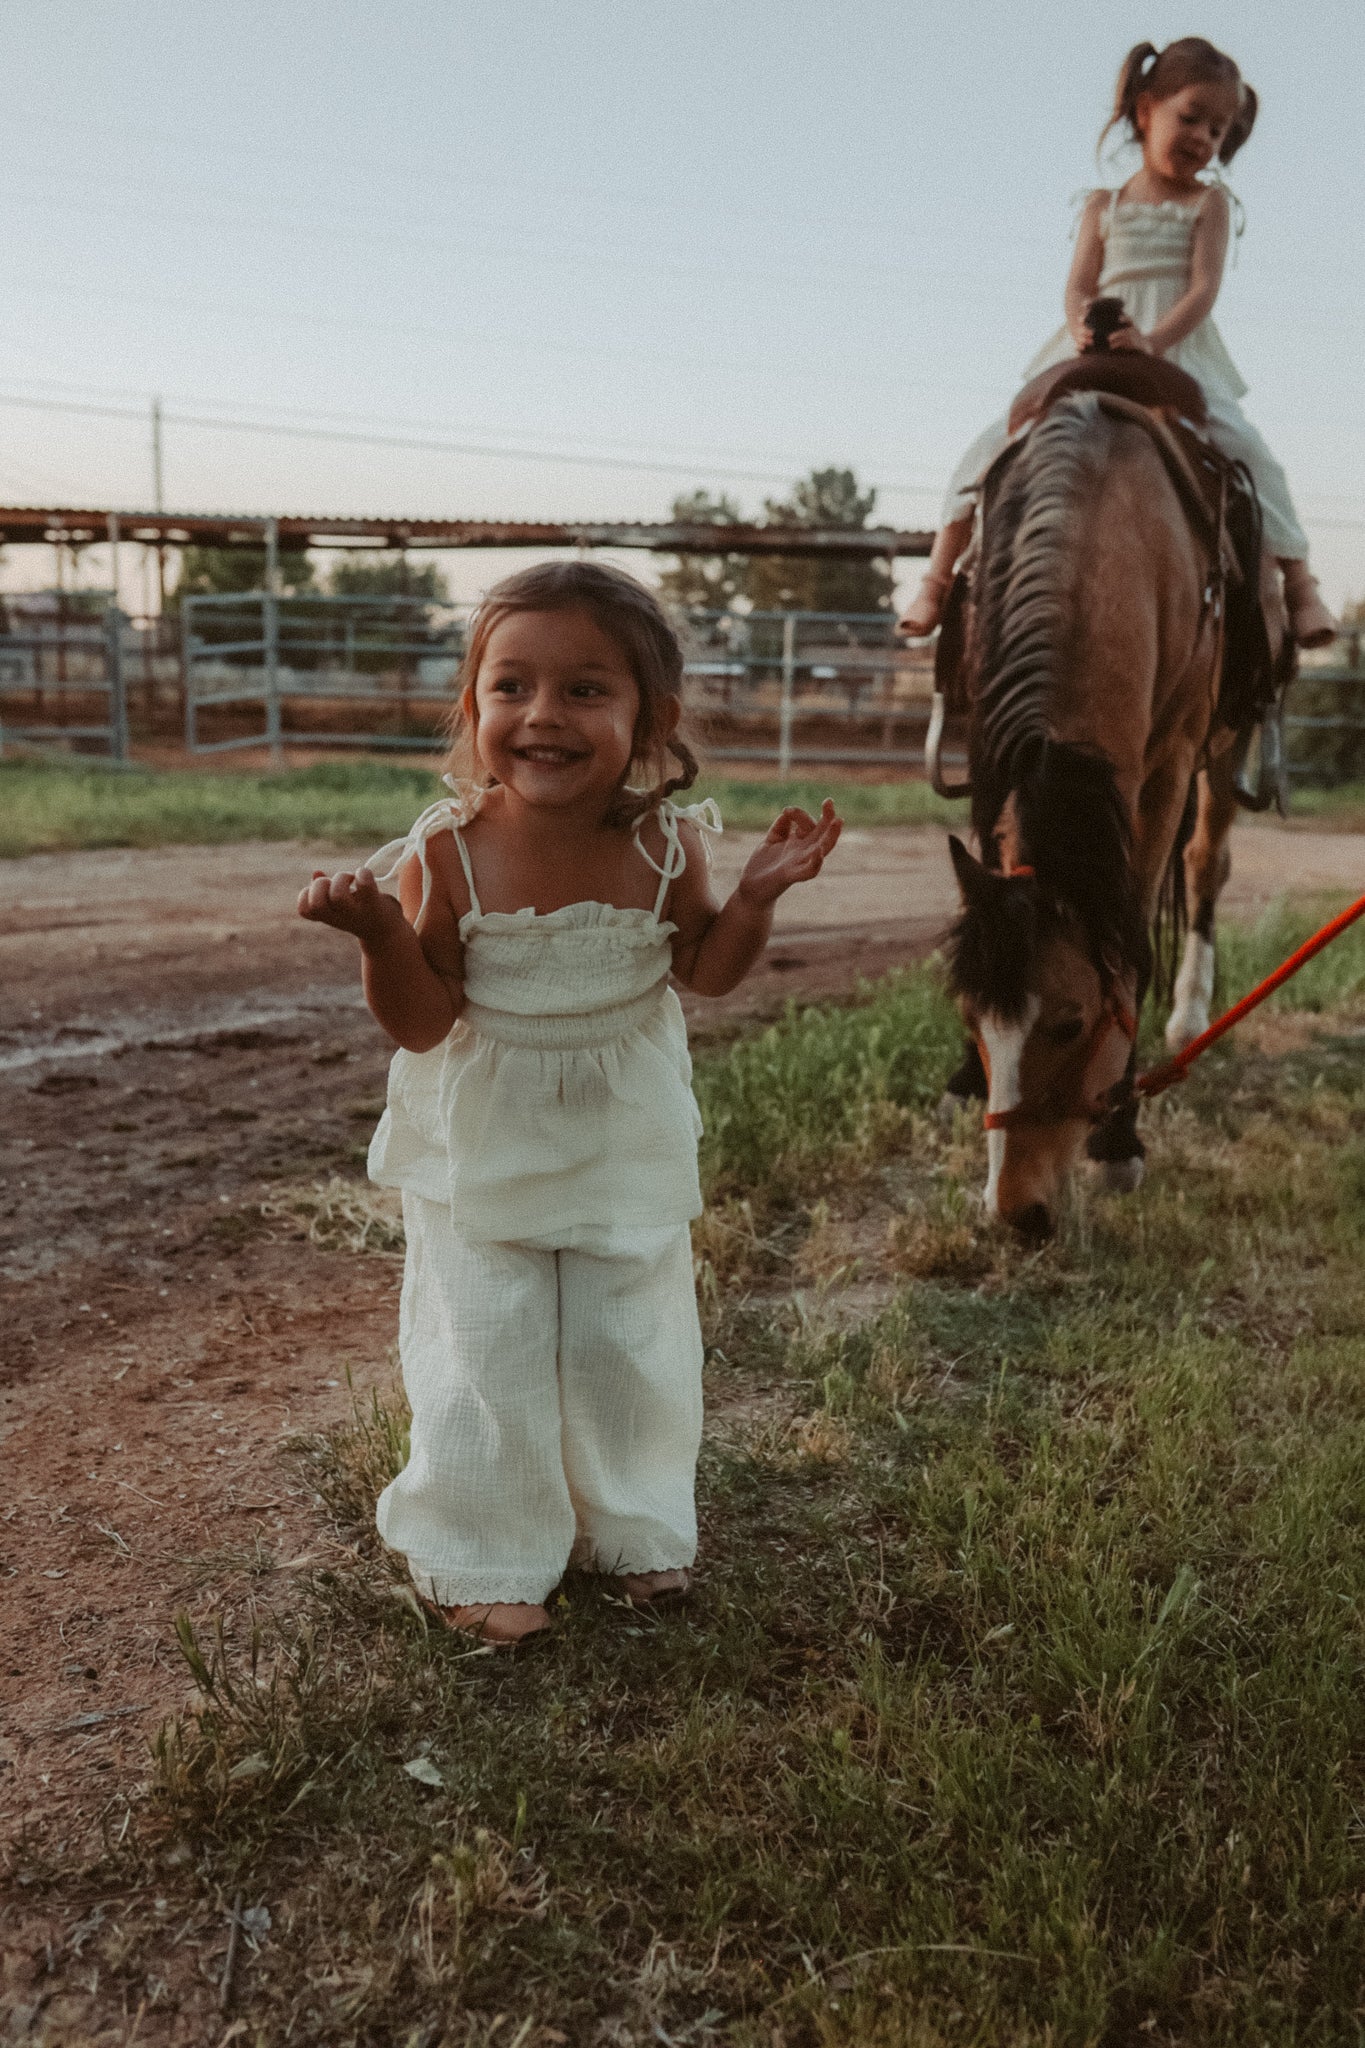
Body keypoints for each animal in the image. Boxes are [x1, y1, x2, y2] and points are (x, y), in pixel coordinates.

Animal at [945, 389, 1285, 1236]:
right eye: (970, 1018)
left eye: (1071, 1022)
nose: (1014, 1213)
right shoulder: (989, 760)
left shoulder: (1166, 762)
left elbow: (1130, 933)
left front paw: (1119, 1144)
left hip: (1221, 754)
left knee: (1202, 866)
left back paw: (1188, 1016)